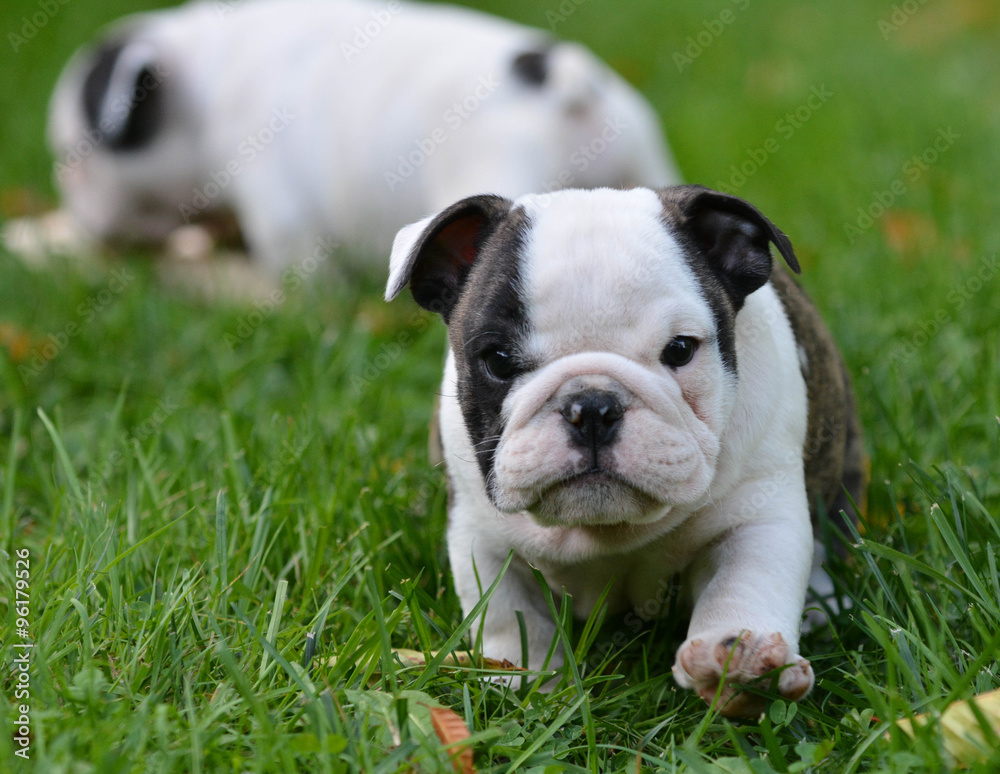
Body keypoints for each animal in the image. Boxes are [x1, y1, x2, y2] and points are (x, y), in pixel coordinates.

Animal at [47, 0, 680, 274]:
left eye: (74, 162)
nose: (78, 215)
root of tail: (564, 82)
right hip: (645, 163)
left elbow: (298, 268)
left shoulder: (274, 198)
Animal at [386, 185, 864, 720]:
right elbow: (509, 614)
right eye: (498, 360)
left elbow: (745, 582)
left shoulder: (757, 513)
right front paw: (523, 683)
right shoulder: (480, 534)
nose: (592, 407)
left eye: (680, 349)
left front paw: (739, 658)